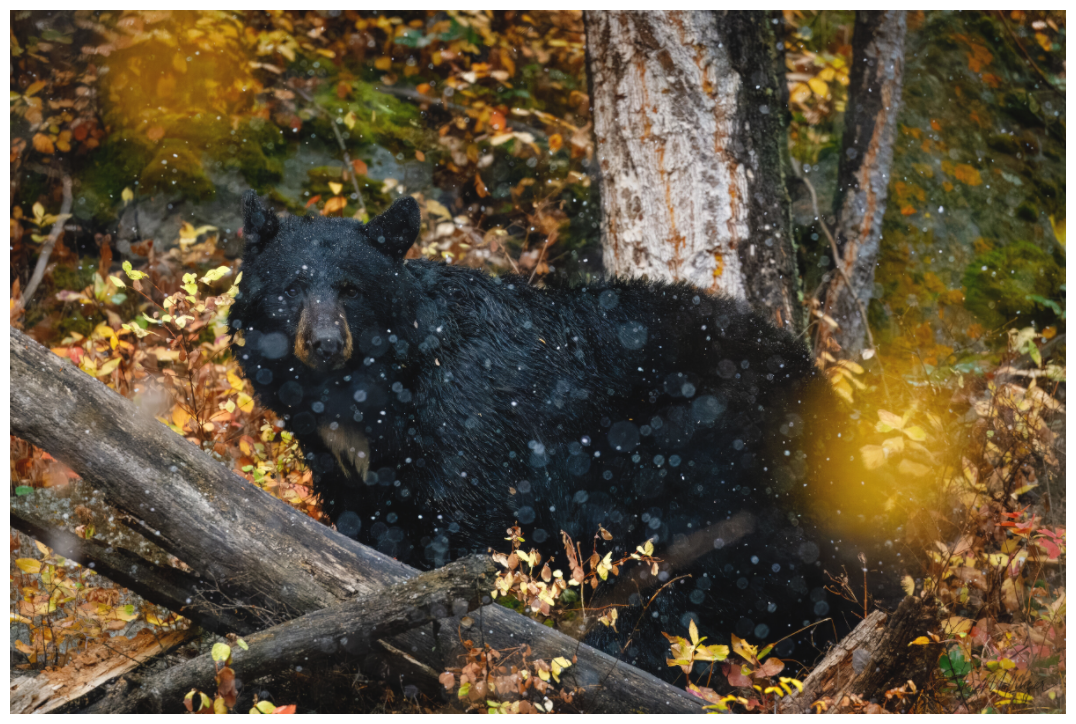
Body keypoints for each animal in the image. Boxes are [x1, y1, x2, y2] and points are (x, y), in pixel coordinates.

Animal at [230, 192, 894, 679]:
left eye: (351, 288)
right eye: (291, 286)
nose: (322, 342)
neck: (378, 391)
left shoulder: (469, 421)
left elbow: (458, 533)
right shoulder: (344, 461)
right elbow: (361, 525)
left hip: (722, 476)